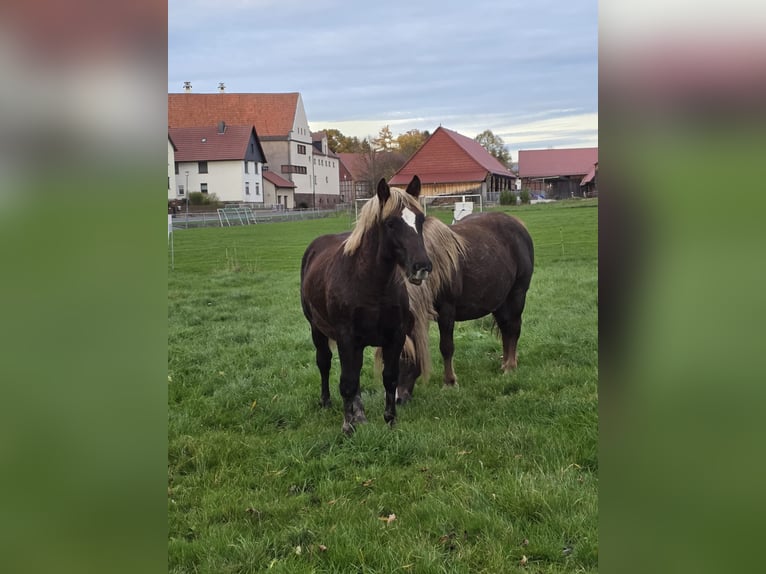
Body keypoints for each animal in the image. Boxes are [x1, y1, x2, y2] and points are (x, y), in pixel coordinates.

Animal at [300, 176, 432, 434]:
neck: (369, 284)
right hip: (317, 329)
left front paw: (390, 421)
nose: (421, 267)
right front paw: (347, 426)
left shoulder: (395, 336)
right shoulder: (346, 337)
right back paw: (327, 402)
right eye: (390, 223)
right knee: (324, 363)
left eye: (420, 219)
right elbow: (347, 382)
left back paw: (359, 414)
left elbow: (389, 378)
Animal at [394, 210, 534, 403]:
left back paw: (510, 367)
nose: (398, 399)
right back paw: (505, 363)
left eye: (405, 357)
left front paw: (449, 382)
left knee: (513, 328)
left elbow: (446, 347)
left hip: (517, 294)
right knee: (506, 329)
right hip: (499, 301)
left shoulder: (446, 312)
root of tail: (518, 224)